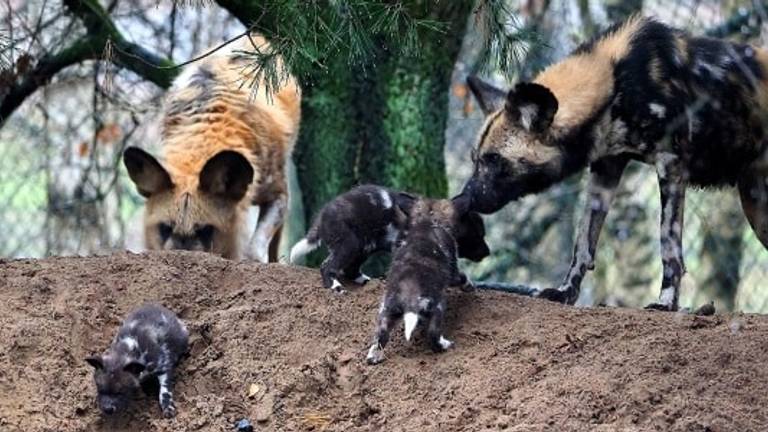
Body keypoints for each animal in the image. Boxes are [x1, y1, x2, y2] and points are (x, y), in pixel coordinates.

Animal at [123, 33, 300, 262]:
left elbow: (254, 250)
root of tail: (256, 36)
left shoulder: (278, 196)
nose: (182, 257)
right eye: (165, 228)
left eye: (206, 230)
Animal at [288, 184, 486, 292]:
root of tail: (323, 214)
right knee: (327, 266)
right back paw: (335, 286)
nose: (487, 252)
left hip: (362, 247)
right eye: (479, 234)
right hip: (349, 244)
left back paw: (365, 281)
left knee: (350, 269)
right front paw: (468, 285)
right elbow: (461, 276)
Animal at [364, 196, 476, 364]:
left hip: (385, 311)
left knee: (379, 337)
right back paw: (446, 345)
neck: (429, 220)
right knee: (433, 336)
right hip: (438, 306)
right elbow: (462, 277)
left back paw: (373, 357)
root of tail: (409, 299)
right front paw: (470, 286)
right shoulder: (453, 272)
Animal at [462, 14, 768, 310]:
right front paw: (565, 292)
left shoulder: (670, 163)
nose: (466, 199)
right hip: (755, 203)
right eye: (475, 159)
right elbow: (583, 242)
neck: (614, 83)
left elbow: (668, 244)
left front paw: (666, 302)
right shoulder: (606, 167)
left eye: (495, 160)